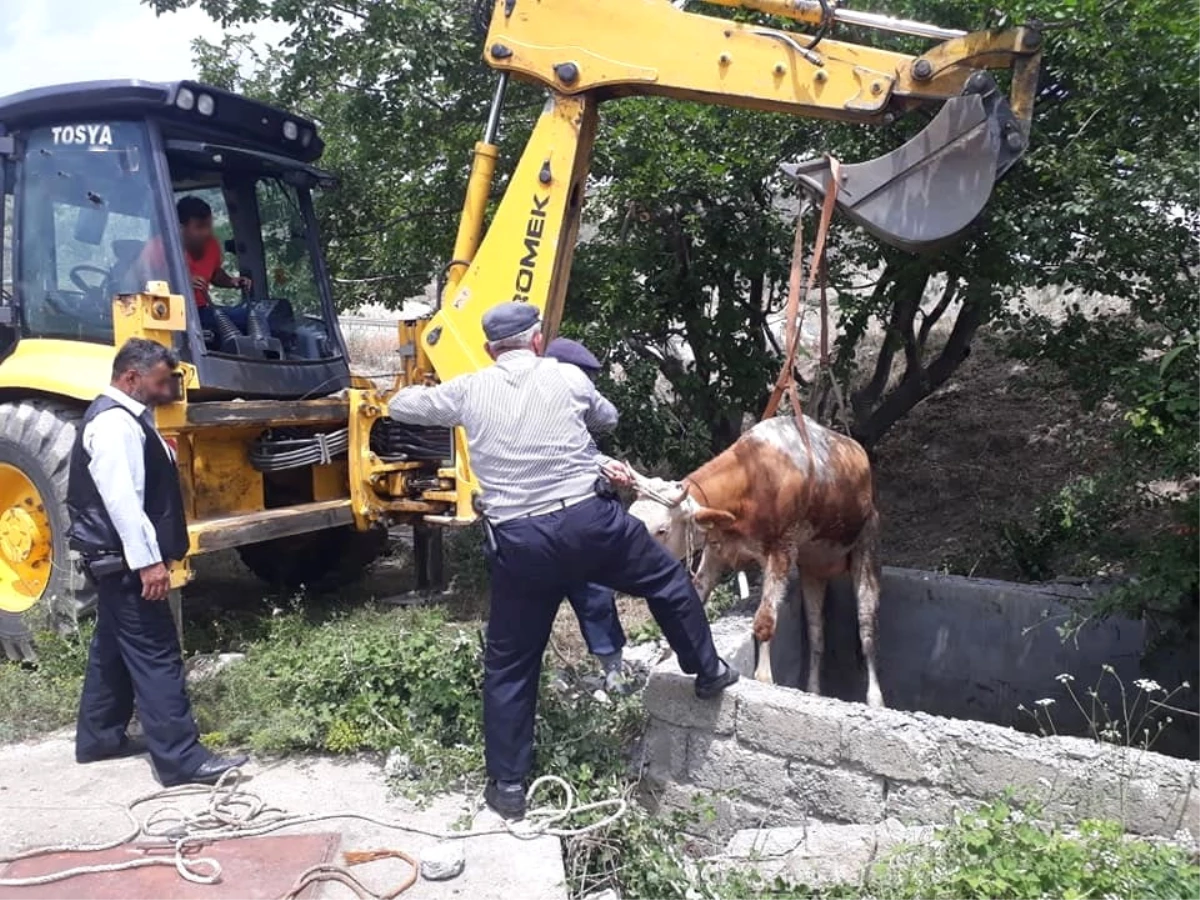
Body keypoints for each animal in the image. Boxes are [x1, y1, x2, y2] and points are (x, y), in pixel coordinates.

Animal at [628, 417, 883, 710]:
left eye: (662, 530)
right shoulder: (715, 552)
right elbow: (695, 602)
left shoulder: (781, 551)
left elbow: (764, 622)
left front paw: (764, 679)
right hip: (812, 569)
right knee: (816, 634)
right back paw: (813, 690)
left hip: (867, 546)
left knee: (867, 633)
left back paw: (875, 700)